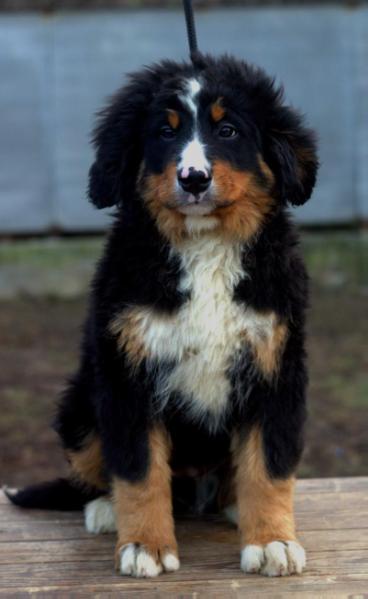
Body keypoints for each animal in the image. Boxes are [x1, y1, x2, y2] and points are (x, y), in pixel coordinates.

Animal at [7, 54, 320, 580]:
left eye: (228, 131)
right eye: (164, 133)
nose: (193, 178)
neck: (205, 246)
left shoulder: (274, 365)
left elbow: (269, 467)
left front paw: (272, 541)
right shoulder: (127, 373)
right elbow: (138, 470)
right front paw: (144, 546)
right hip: (80, 405)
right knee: (98, 470)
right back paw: (105, 509)